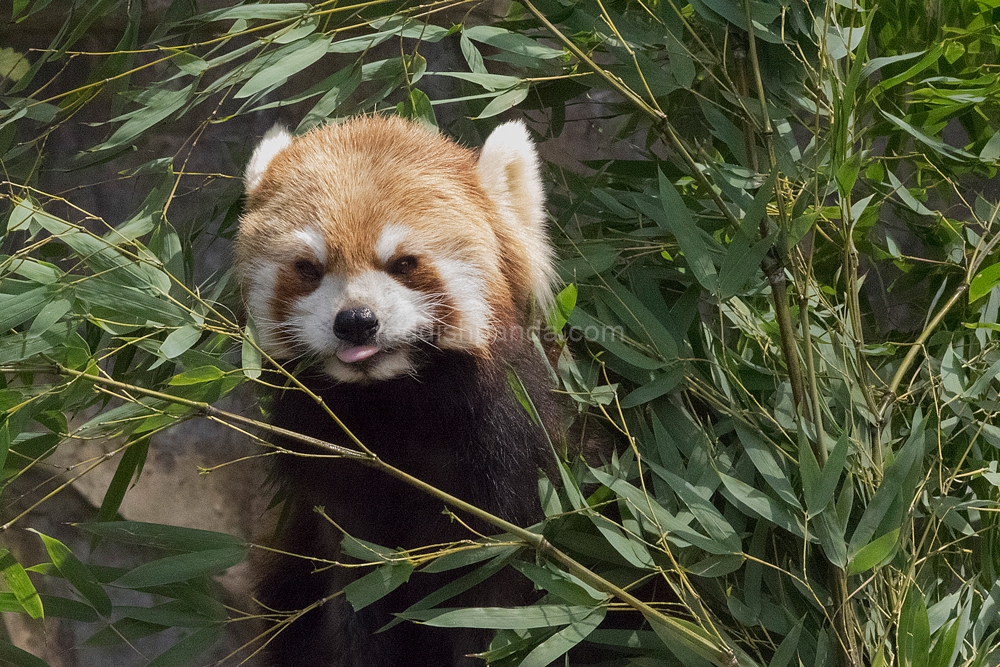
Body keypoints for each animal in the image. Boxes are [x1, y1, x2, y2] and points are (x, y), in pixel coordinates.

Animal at [232, 116, 564, 667]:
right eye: (309, 268)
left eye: (404, 263)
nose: (356, 322)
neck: (392, 405)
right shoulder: (335, 491)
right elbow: (360, 596)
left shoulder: (511, 474)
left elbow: (493, 602)